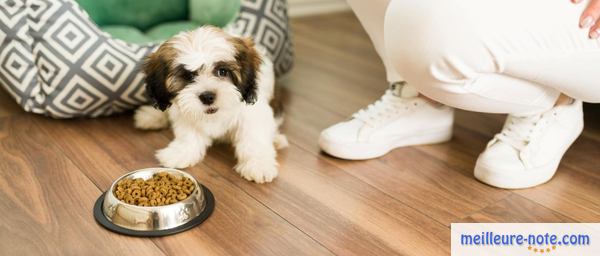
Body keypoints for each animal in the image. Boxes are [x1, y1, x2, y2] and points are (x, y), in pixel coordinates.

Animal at [134, 26, 288, 184]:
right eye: (189, 76)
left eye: (222, 71)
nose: (207, 97)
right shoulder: (186, 111)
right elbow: (188, 134)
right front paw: (181, 152)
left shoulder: (252, 114)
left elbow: (253, 138)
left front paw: (258, 165)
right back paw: (151, 116)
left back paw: (277, 139)